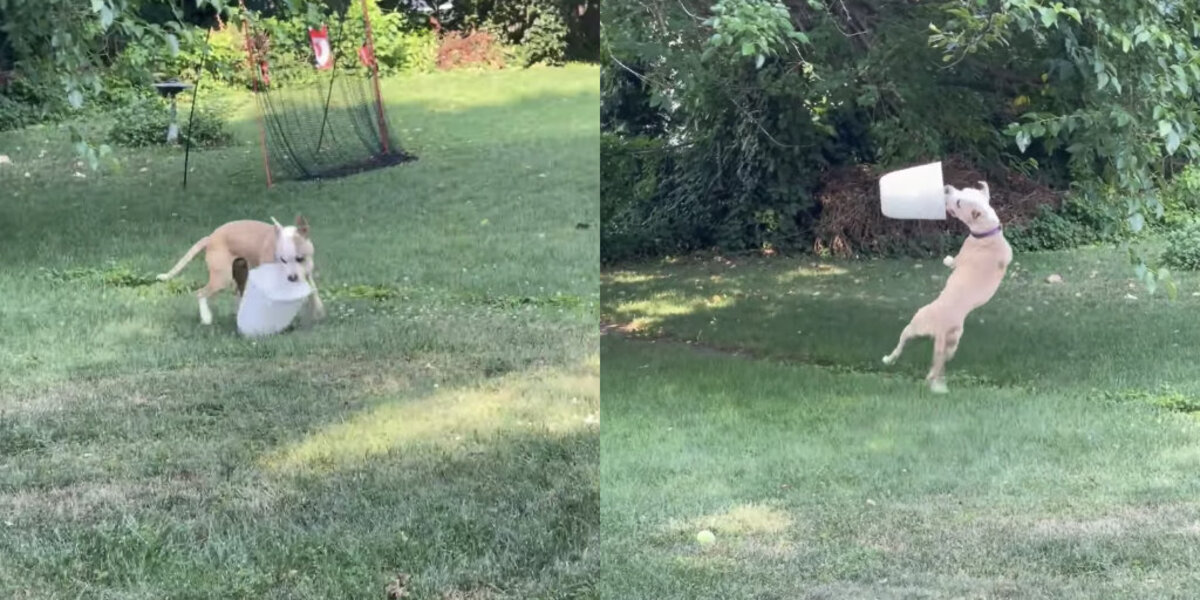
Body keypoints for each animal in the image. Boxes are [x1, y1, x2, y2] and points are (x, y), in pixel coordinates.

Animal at [154, 216, 326, 326]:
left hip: (238, 273)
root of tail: (210, 238)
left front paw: (318, 311)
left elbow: (313, 292)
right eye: (282, 260)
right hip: (222, 278)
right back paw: (207, 318)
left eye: (300, 258)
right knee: (200, 293)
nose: (292, 278)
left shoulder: (306, 274)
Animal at [883, 182, 1012, 393]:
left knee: (902, 343)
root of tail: (941, 329)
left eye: (959, 203)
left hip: (915, 324)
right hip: (951, 344)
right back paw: (932, 378)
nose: (947, 187)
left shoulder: (962, 254)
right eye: (964, 190)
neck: (989, 231)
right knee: (939, 363)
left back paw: (888, 359)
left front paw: (947, 259)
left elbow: (953, 262)